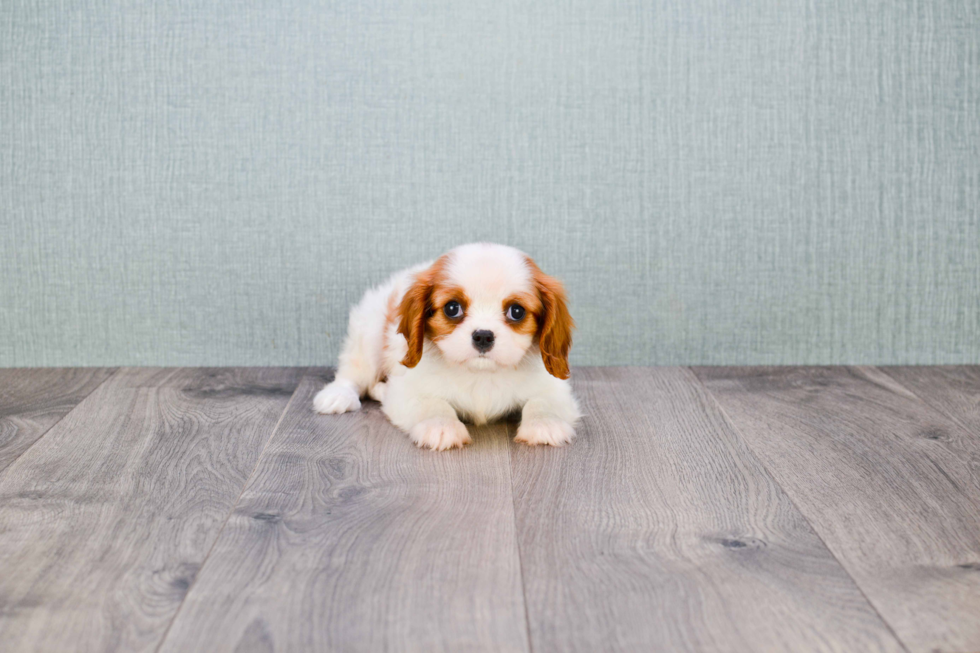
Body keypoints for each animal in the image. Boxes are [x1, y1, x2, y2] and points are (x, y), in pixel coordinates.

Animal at [314, 242, 580, 450]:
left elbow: (542, 401)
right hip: (368, 332)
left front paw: (544, 424)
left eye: (517, 311)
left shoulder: (553, 388)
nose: (483, 336)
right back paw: (338, 395)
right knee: (355, 374)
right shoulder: (407, 390)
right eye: (453, 308)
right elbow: (433, 403)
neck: (481, 374)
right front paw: (441, 427)